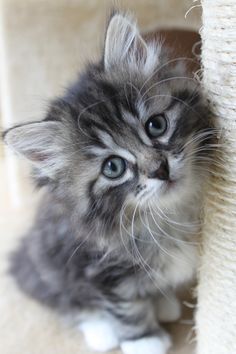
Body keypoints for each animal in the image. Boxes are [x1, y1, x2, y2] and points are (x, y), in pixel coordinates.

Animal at [3, 12, 213, 354]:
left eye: (156, 125)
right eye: (113, 167)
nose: (160, 169)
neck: (169, 214)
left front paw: (159, 302)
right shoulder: (100, 270)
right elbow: (127, 308)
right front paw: (145, 341)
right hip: (43, 263)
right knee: (66, 301)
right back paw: (101, 330)